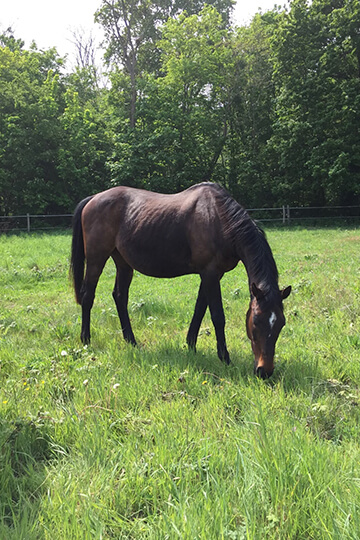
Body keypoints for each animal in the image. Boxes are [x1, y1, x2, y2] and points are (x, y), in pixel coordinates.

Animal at [69, 181, 290, 376]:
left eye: (281, 323)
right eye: (256, 322)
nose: (265, 371)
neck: (219, 219)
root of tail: (93, 199)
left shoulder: (211, 274)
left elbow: (200, 309)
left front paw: (191, 345)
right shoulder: (210, 273)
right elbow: (217, 316)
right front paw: (225, 358)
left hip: (123, 262)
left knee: (120, 297)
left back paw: (131, 341)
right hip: (97, 258)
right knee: (88, 296)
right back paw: (86, 340)